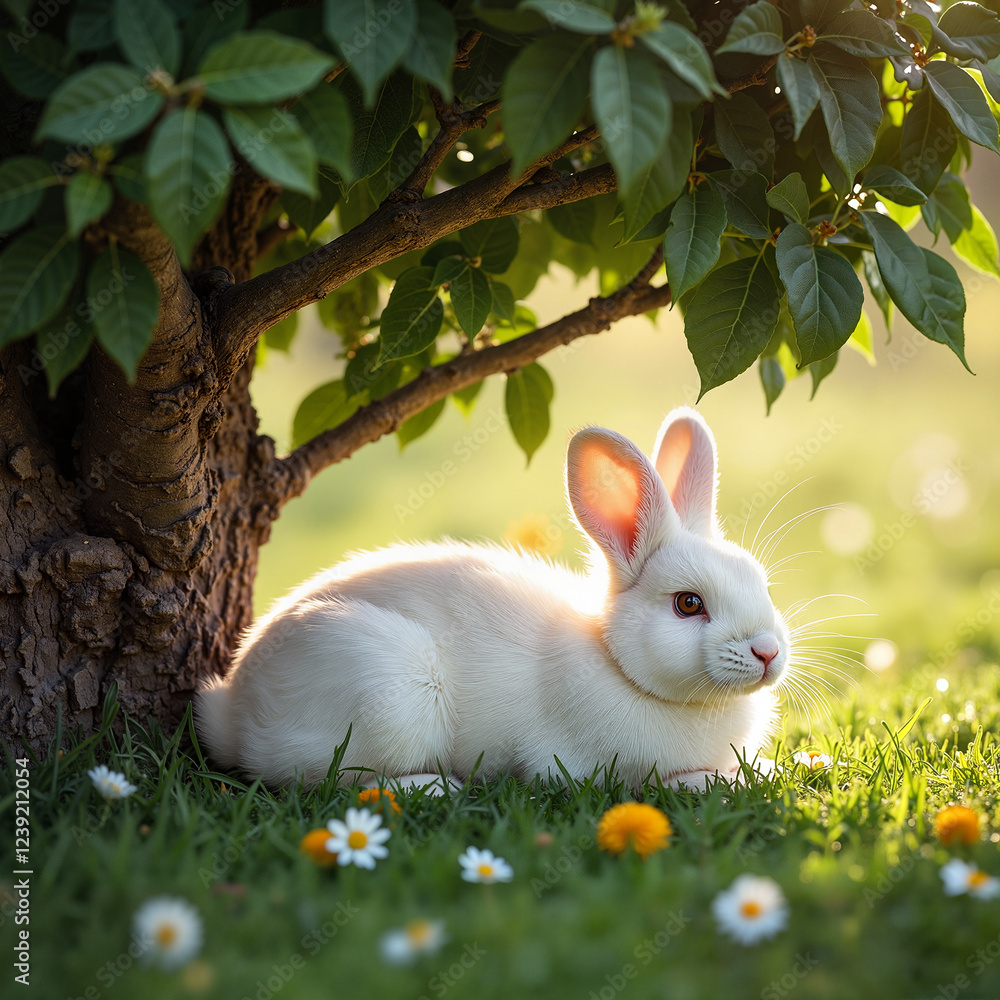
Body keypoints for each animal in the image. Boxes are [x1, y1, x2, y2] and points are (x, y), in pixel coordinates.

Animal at [195, 407, 791, 791]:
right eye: (688, 604)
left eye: (761, 582)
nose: (767, 652)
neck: (616, 663)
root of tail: (231, 708)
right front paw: (717, 780)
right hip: (387, 696)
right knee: (321, 778)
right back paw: (434, 787)